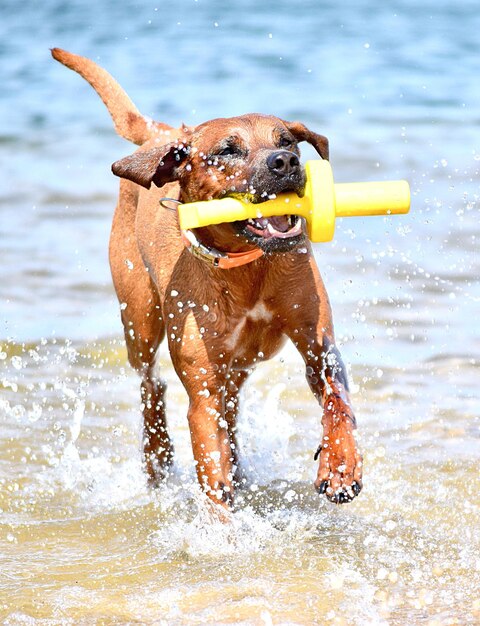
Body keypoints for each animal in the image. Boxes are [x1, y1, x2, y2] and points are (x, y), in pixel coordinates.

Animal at [51, 48, 360, 508]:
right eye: (227, 151)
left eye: (286, 140)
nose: (285, 162)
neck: (249, 267)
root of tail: (168, 134)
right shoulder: (202, 391)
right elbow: (211, 471)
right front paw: (222, 521)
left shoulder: (317, 342)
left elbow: (337, 400)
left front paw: (340, 466)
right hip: (139, 317)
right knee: (151, 384)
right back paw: (158, 456)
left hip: (237, 364)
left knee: (229, 410)